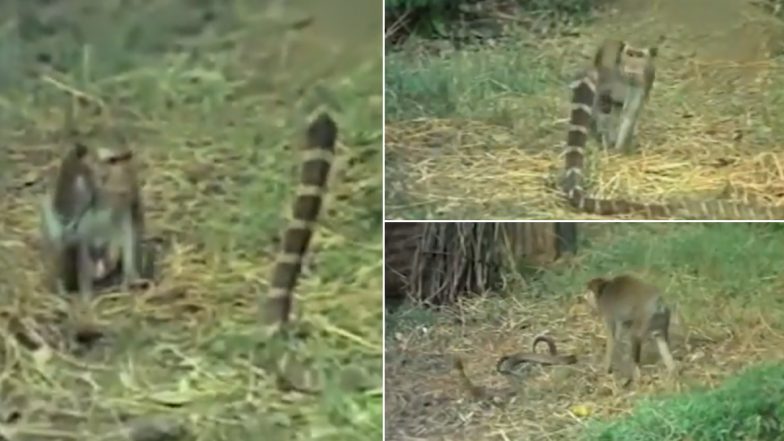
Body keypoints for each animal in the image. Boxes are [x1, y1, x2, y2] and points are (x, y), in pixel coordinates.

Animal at [562, 40, 784, 220]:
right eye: (630, 54)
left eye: (639, 56)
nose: (632, 65)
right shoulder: (606, 77)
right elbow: (601, 105)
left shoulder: (642, 83)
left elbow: (629, 115)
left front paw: (617, 149)